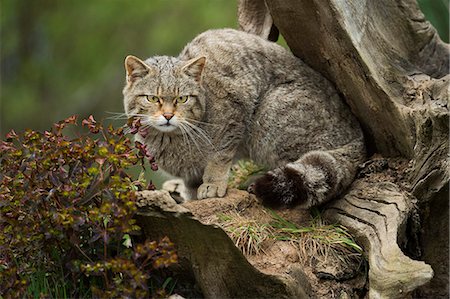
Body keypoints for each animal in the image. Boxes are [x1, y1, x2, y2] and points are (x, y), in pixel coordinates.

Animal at [122, 29, 366, 210]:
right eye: (152, 98)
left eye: (182, 98)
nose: (168, 116)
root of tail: (358, 136)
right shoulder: (190, 172)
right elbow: (191, 181)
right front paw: (190, 195)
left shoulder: (234, 115)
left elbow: (219, 156)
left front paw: (212, 184)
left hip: (270, 115)